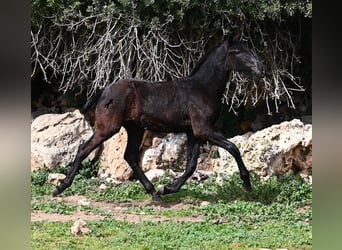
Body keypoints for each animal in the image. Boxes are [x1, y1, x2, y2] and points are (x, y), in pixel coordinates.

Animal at [53, 33, 266, 201]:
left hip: (135, 129)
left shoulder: (194, 132)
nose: (261, 69)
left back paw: (154, 192)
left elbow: (191, 165)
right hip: (108, 128)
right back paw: (60, 188)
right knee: (83, 149)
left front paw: (168, 189)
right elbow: (233, 148)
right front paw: (247, 184)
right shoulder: (203, 129)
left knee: (130, 156)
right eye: (236, 51)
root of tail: (104, 90)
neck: (202, 88)